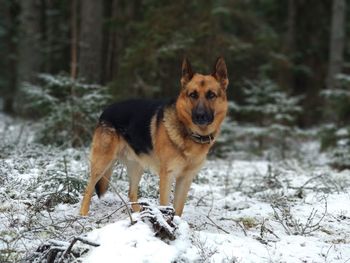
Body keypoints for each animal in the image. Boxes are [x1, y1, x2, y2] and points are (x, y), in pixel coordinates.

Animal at [79, 57, 228, 217]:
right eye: (193, 95)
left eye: (211, 95)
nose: (200, 116)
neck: (189, 133)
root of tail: (106, 110)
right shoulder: (166, 177)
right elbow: (165, 205)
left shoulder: (185, 179)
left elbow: (178, 210)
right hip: (102, 163)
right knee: (88, 189)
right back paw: (83, 214)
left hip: (137, 166)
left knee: (131, 193)